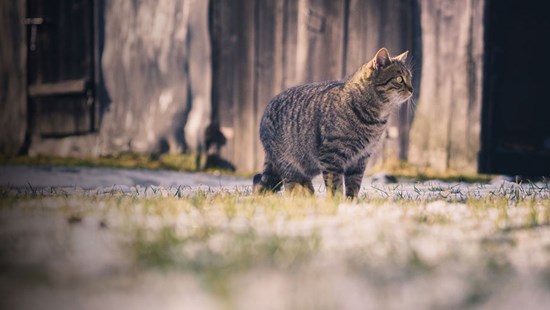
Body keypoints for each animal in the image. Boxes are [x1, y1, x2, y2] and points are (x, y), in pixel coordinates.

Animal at [254, 48, 414, 199]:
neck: (375, 119)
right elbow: (335, 185)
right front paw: (335, 201)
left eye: (410, 78)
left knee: (304, 185)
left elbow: (354, 185)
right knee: (292, 187)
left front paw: (351, 203)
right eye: (399, 79)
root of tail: (266, 109)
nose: (412, 89)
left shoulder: (360, 159)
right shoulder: (331, 156)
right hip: (289, 164)